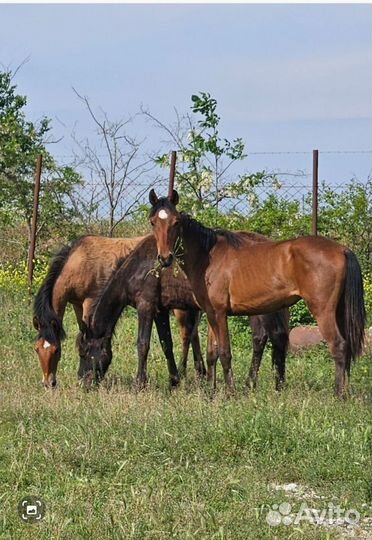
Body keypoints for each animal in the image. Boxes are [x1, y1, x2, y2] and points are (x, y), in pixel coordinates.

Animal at [78, 234, 290, 390]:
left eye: (84, 352)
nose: (82, 382)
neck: (139, 266)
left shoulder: (146, 306)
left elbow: (143, 344)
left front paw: (140, 383)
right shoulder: (160, 311)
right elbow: (167, 344)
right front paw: (174, 380)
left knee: (266, 338)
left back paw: (256, 384)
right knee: (268, 338)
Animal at [147, 189, 364, 396]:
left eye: (176, 222)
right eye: (153, 222)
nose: (165, 258)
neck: (207, 256)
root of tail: (343, 249)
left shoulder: (219, 313)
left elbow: (225, 353)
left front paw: (230, 393)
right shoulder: (210, 313)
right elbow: (212, 354)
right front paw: (211, 391)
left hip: (322, 311)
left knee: (338, 346)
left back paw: (339, 394)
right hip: (339, 312)